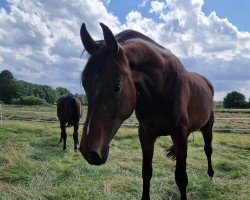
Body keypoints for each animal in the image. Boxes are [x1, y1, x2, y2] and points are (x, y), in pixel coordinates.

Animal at [78, 22, 215, 199]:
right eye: (84, 84)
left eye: (117, 86)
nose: (89, 152)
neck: (160, 88)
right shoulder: (146, 134)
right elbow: (146, 172)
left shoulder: (179, 134)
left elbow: (181, 178)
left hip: (207, 126)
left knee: (208, 149)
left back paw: (211, 175)